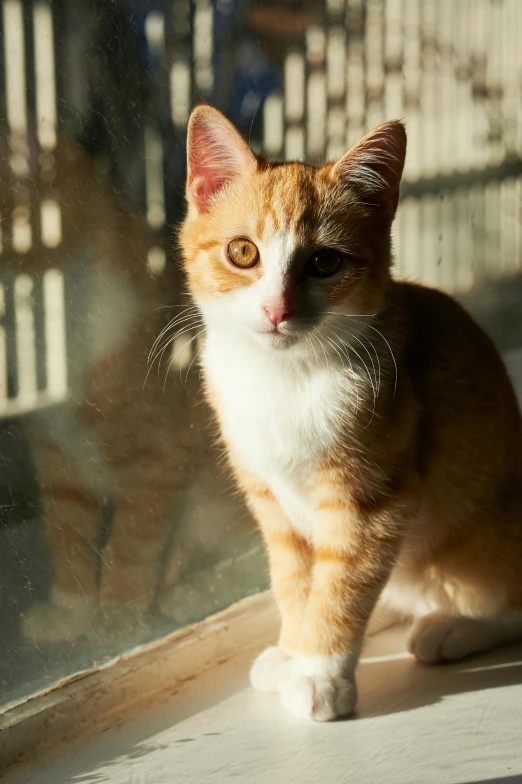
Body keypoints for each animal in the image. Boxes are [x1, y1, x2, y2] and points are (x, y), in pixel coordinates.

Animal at [178, 105, 520, 724]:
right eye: (243, 252)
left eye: (325, 262)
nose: (276, 309)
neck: (284, 380)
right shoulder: (272, 502)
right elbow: (295, 580)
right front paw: (295, 649)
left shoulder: (375, 500)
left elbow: (343, 583)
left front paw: (319, 672)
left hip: (482, 540)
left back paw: (451, 627)